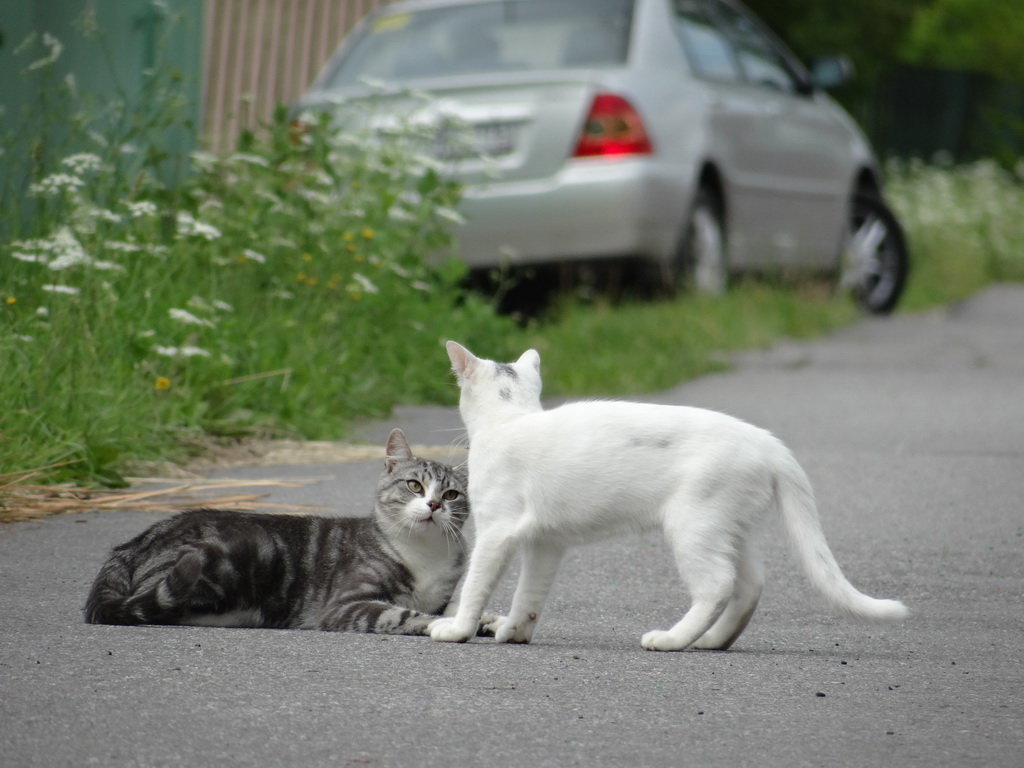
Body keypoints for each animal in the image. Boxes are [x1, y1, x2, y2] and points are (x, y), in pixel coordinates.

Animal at [84, 428, 479, 638]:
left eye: (451, 494)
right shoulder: (345, 604)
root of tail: (134, 542)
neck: (425, 552)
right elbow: (402, 614)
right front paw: (445, 625)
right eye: (414, 486)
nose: (433, 505)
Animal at [428, 342, 909, 651]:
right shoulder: (547, 543)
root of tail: (768, 441)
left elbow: (476, 585)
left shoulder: (498, 532)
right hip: (729, 529)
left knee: (718, 585)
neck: (510, 419)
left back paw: (673, 639)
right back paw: (712, 641)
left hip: (693, 526)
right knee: (750, 583)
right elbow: (530, 595)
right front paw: (515, 632)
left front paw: (458, 629)